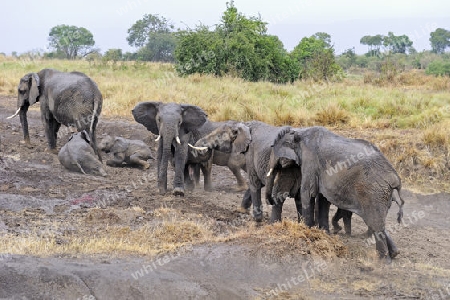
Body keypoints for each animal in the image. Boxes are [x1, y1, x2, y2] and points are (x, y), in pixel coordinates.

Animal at [266, 126, 406, 260]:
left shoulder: (310, 160)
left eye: (274, 151)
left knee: (375, 223)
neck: (299, 132)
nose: (269, 200)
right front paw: (324, 234)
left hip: (373, 192)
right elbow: (322, 199)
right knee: (376, 222)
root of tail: (395, 178)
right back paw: (395, 253)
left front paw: (307, 231)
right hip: (380, 195)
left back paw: (383, 259)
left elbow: (308, 193)